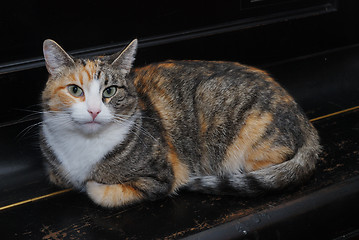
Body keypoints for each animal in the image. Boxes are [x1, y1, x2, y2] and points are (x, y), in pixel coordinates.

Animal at [40, 38, 322, 207]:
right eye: (75, 90)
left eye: (110, 91)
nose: (94, 111)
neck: (85, 144)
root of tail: (302, 117)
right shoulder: (55, 169)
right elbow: (62, 178)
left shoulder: (159, 177)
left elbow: (100, 192)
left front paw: (92, 184)